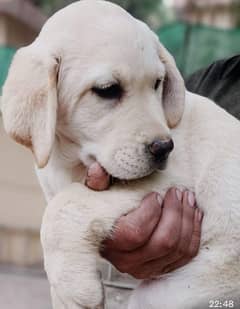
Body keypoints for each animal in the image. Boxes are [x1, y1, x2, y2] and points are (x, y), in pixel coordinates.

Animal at [1, 0, 240, 308]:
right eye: (107, 90)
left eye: (157, 83)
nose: (164, 148)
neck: (71, 157)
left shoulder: (169, 180)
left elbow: (66, 206)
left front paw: (76, 286)